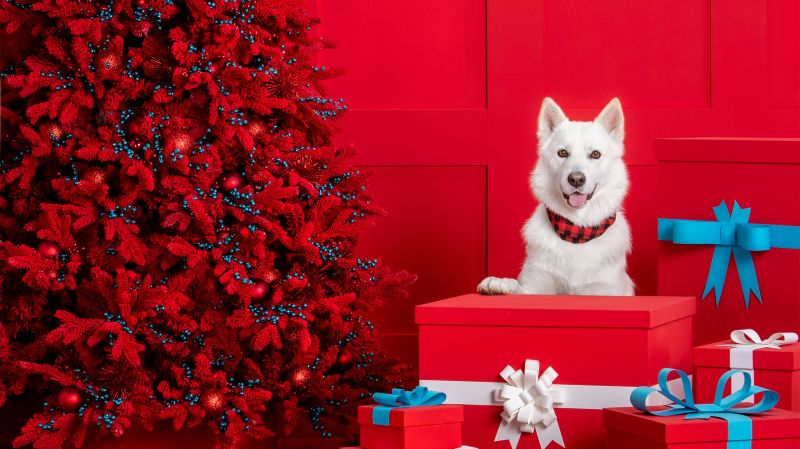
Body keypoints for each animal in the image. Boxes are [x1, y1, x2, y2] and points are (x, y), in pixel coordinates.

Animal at [478, 96, 636, 296]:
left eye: (595, 154)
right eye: (562, 153)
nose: (576, 179)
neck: (577, 231)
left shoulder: (607, 290)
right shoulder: (533, 286)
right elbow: (520, 288)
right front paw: (501, 283)